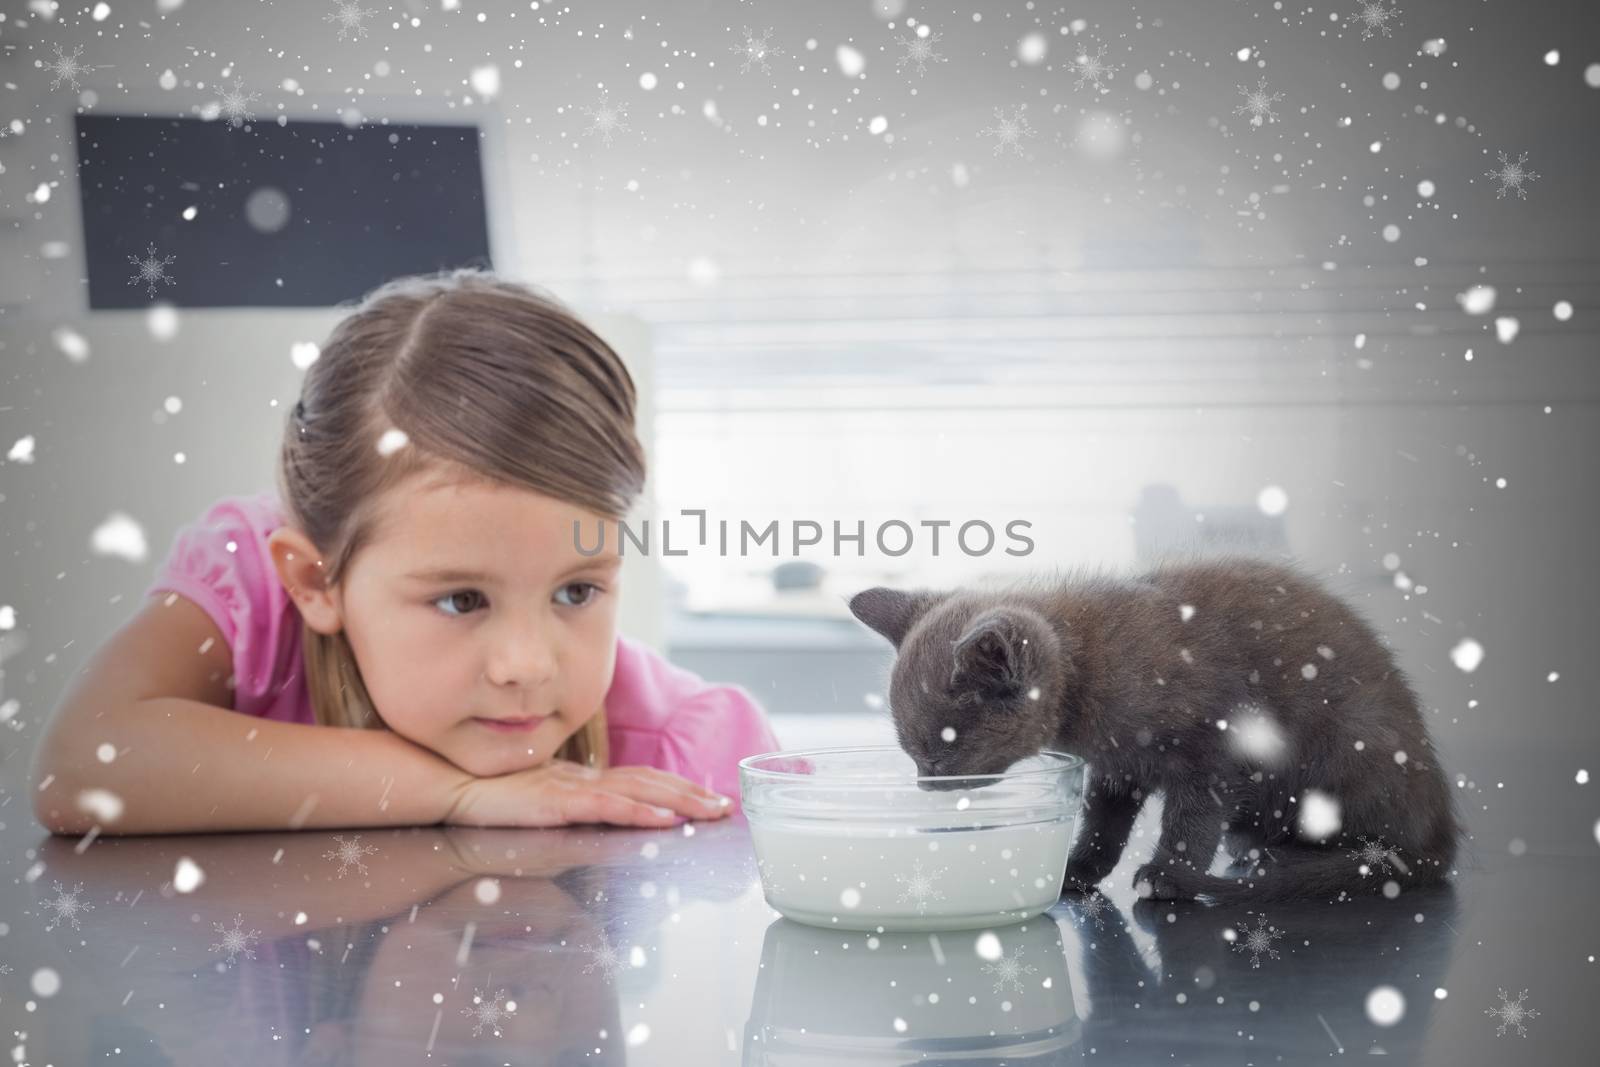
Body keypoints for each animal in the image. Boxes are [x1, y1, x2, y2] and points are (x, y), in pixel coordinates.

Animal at [851, 556, 1465, 908]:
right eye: (914, 757)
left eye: (936, 756)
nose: (924, 787)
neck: (1090, 669)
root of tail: (1441, 837)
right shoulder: (1117, 767)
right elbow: (1103, 822)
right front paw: (1079, 870)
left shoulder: (1215, 753)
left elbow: (1192, 821)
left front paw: (1169, 876)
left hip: (1352, 744)